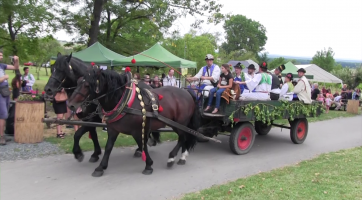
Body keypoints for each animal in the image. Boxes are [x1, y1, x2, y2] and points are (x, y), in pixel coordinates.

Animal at [67, 67, 198, 177]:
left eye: (87, 85)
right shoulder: (112, 129)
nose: (70, 105)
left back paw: (172, 157)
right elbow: (108, 147)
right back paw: (182, 157)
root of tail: (187, 92)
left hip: (180, 123)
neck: (125, 101)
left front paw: (148, 165)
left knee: (182, 137)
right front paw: (100, 167)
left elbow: (142, 145)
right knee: (184, 137)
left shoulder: (137, 130)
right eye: (78, 82)